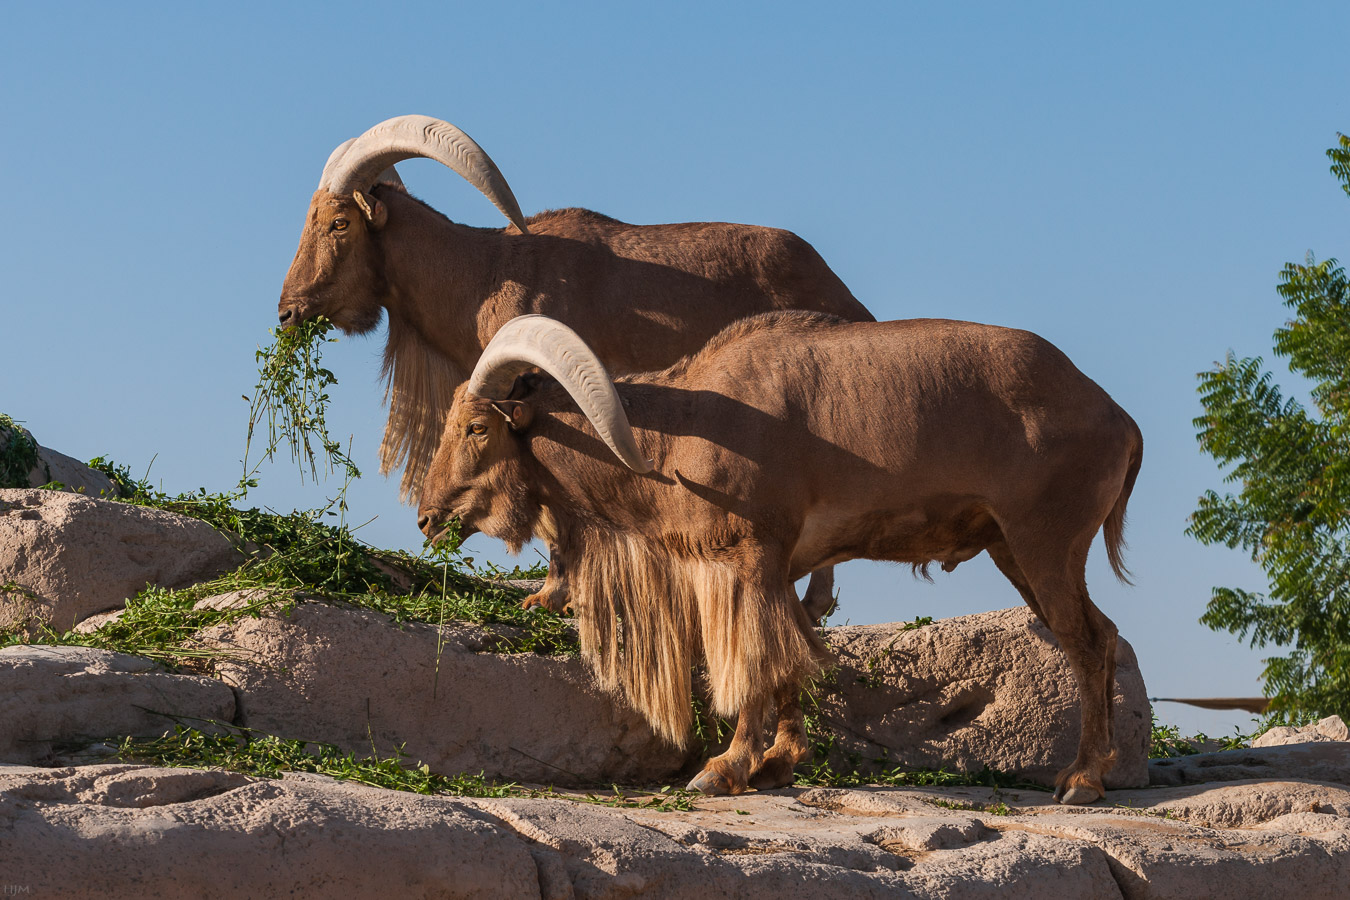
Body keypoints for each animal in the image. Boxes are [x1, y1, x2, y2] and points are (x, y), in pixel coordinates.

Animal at [280, 114, 874, 620]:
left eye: (338, 223)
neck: (482, 276)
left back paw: (811, 605)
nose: (287, 311)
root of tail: (849, 300)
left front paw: (551, 596)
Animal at [415, 311, 1144, 804]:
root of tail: (1120, 419)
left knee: (1088, 641)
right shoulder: (782, 566)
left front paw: (724, 768)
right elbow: (791, 655)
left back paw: (1082, 780)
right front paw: (777, 764)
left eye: (477, 428)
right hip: (1011, 549)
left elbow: (755, 660)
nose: (426, 516)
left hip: (1044, 541)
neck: (673, 438)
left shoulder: (746, 556)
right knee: (1101, 633)